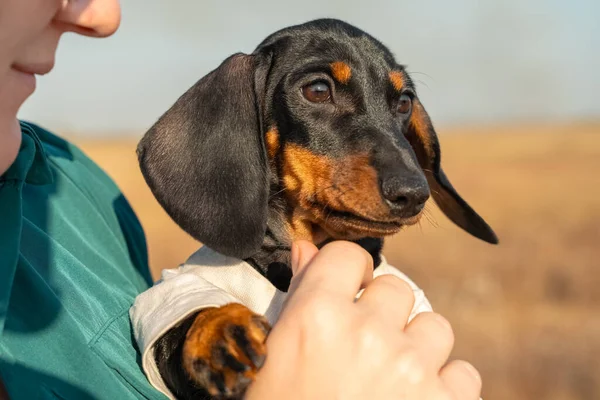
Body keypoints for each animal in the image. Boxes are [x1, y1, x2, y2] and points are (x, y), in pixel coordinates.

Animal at [138, 18, 500, 400]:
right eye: (317, 90)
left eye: (404, 102)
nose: (413, 193)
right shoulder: (176, 289)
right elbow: (188, 312)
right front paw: (222, 331)